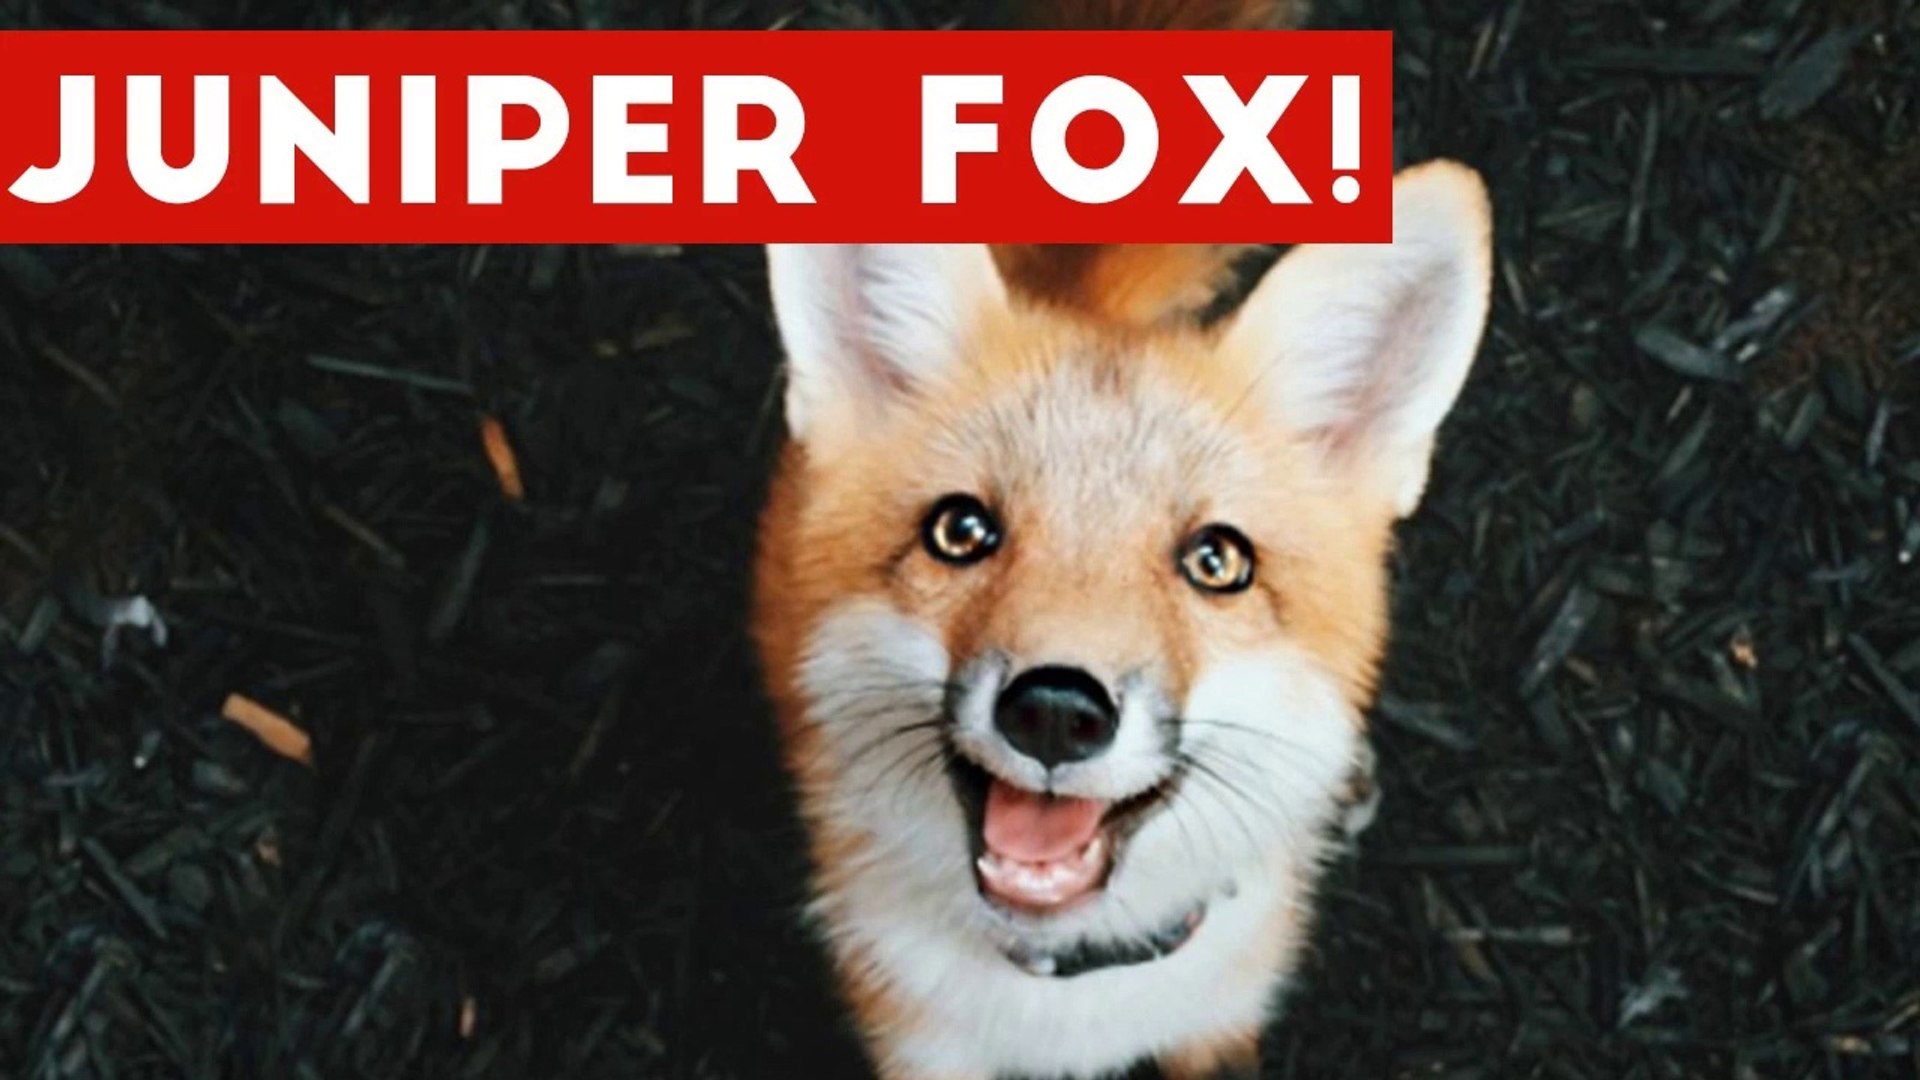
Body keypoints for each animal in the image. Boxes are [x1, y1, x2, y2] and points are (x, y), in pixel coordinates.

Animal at [749, 3, 1494, 1078]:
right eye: (961, 531)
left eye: (1217, 562)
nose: (1057, 711)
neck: (1069, 1002)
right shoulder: (922, 1047)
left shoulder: (1217, 1026)